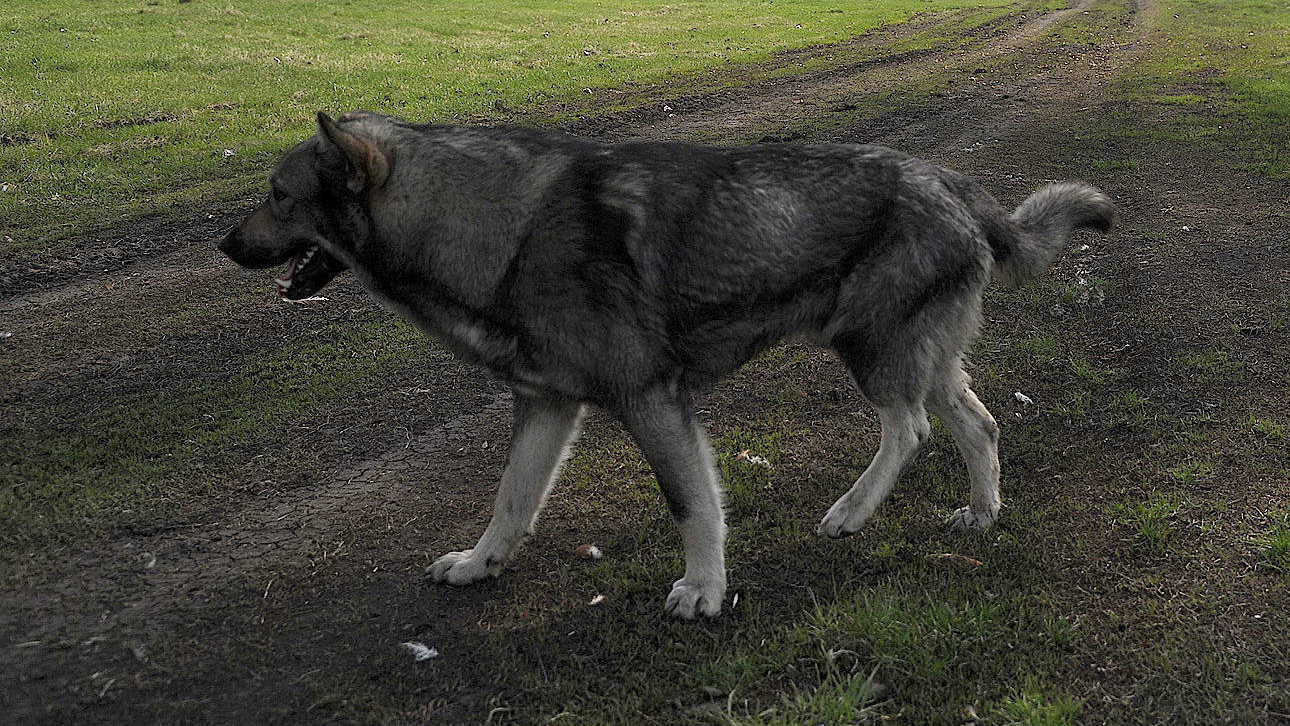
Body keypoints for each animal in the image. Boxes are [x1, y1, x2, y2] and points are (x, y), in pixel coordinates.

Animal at [216, 112, 1114, 618]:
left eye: (279, 195)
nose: (223, 245)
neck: (499, 227)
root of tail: (954, 182)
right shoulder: (546, 405)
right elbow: (511, 501)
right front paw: (480, 564)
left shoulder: (652, 403)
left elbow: (693, 507)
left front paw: (705, 591)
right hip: (919, 354)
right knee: (979, 425)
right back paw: (983, 512)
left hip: (871, 348)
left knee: (912, 430)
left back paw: (853, 511)